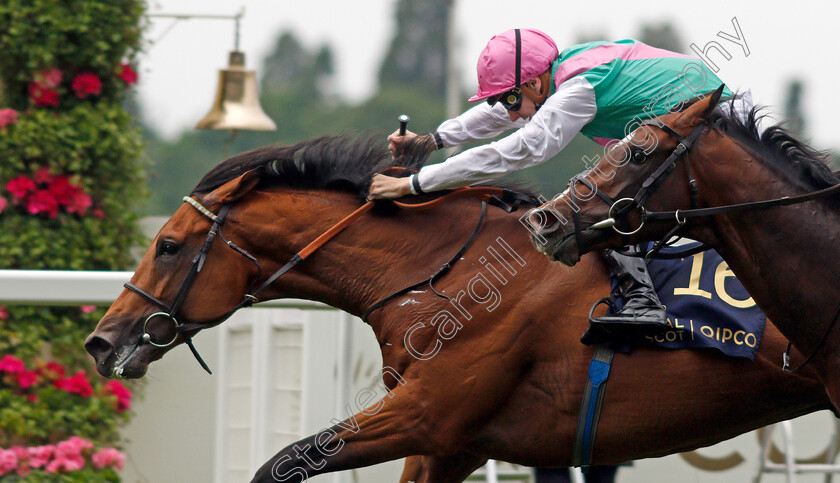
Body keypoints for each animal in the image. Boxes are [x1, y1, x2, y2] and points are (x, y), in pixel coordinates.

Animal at [83, 134, 828, 482]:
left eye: (169, 246)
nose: (101, 341)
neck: (443, 270)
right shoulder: (454, 441)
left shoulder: (427, 412)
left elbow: (280, 464)